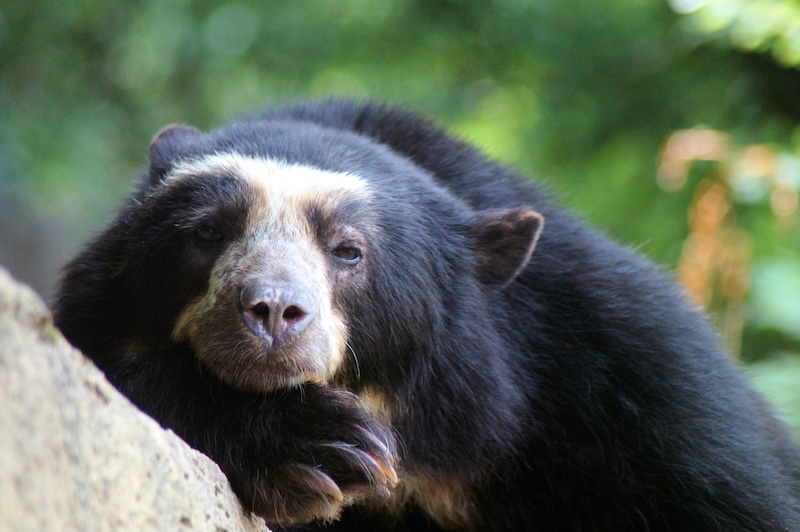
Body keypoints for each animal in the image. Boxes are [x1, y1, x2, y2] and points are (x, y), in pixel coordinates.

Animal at [56, 101, 800, 532]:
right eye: (208, 233)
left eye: (349, 251)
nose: (271, 310)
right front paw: (317, 443)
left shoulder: (632, 384)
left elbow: (733, 500)